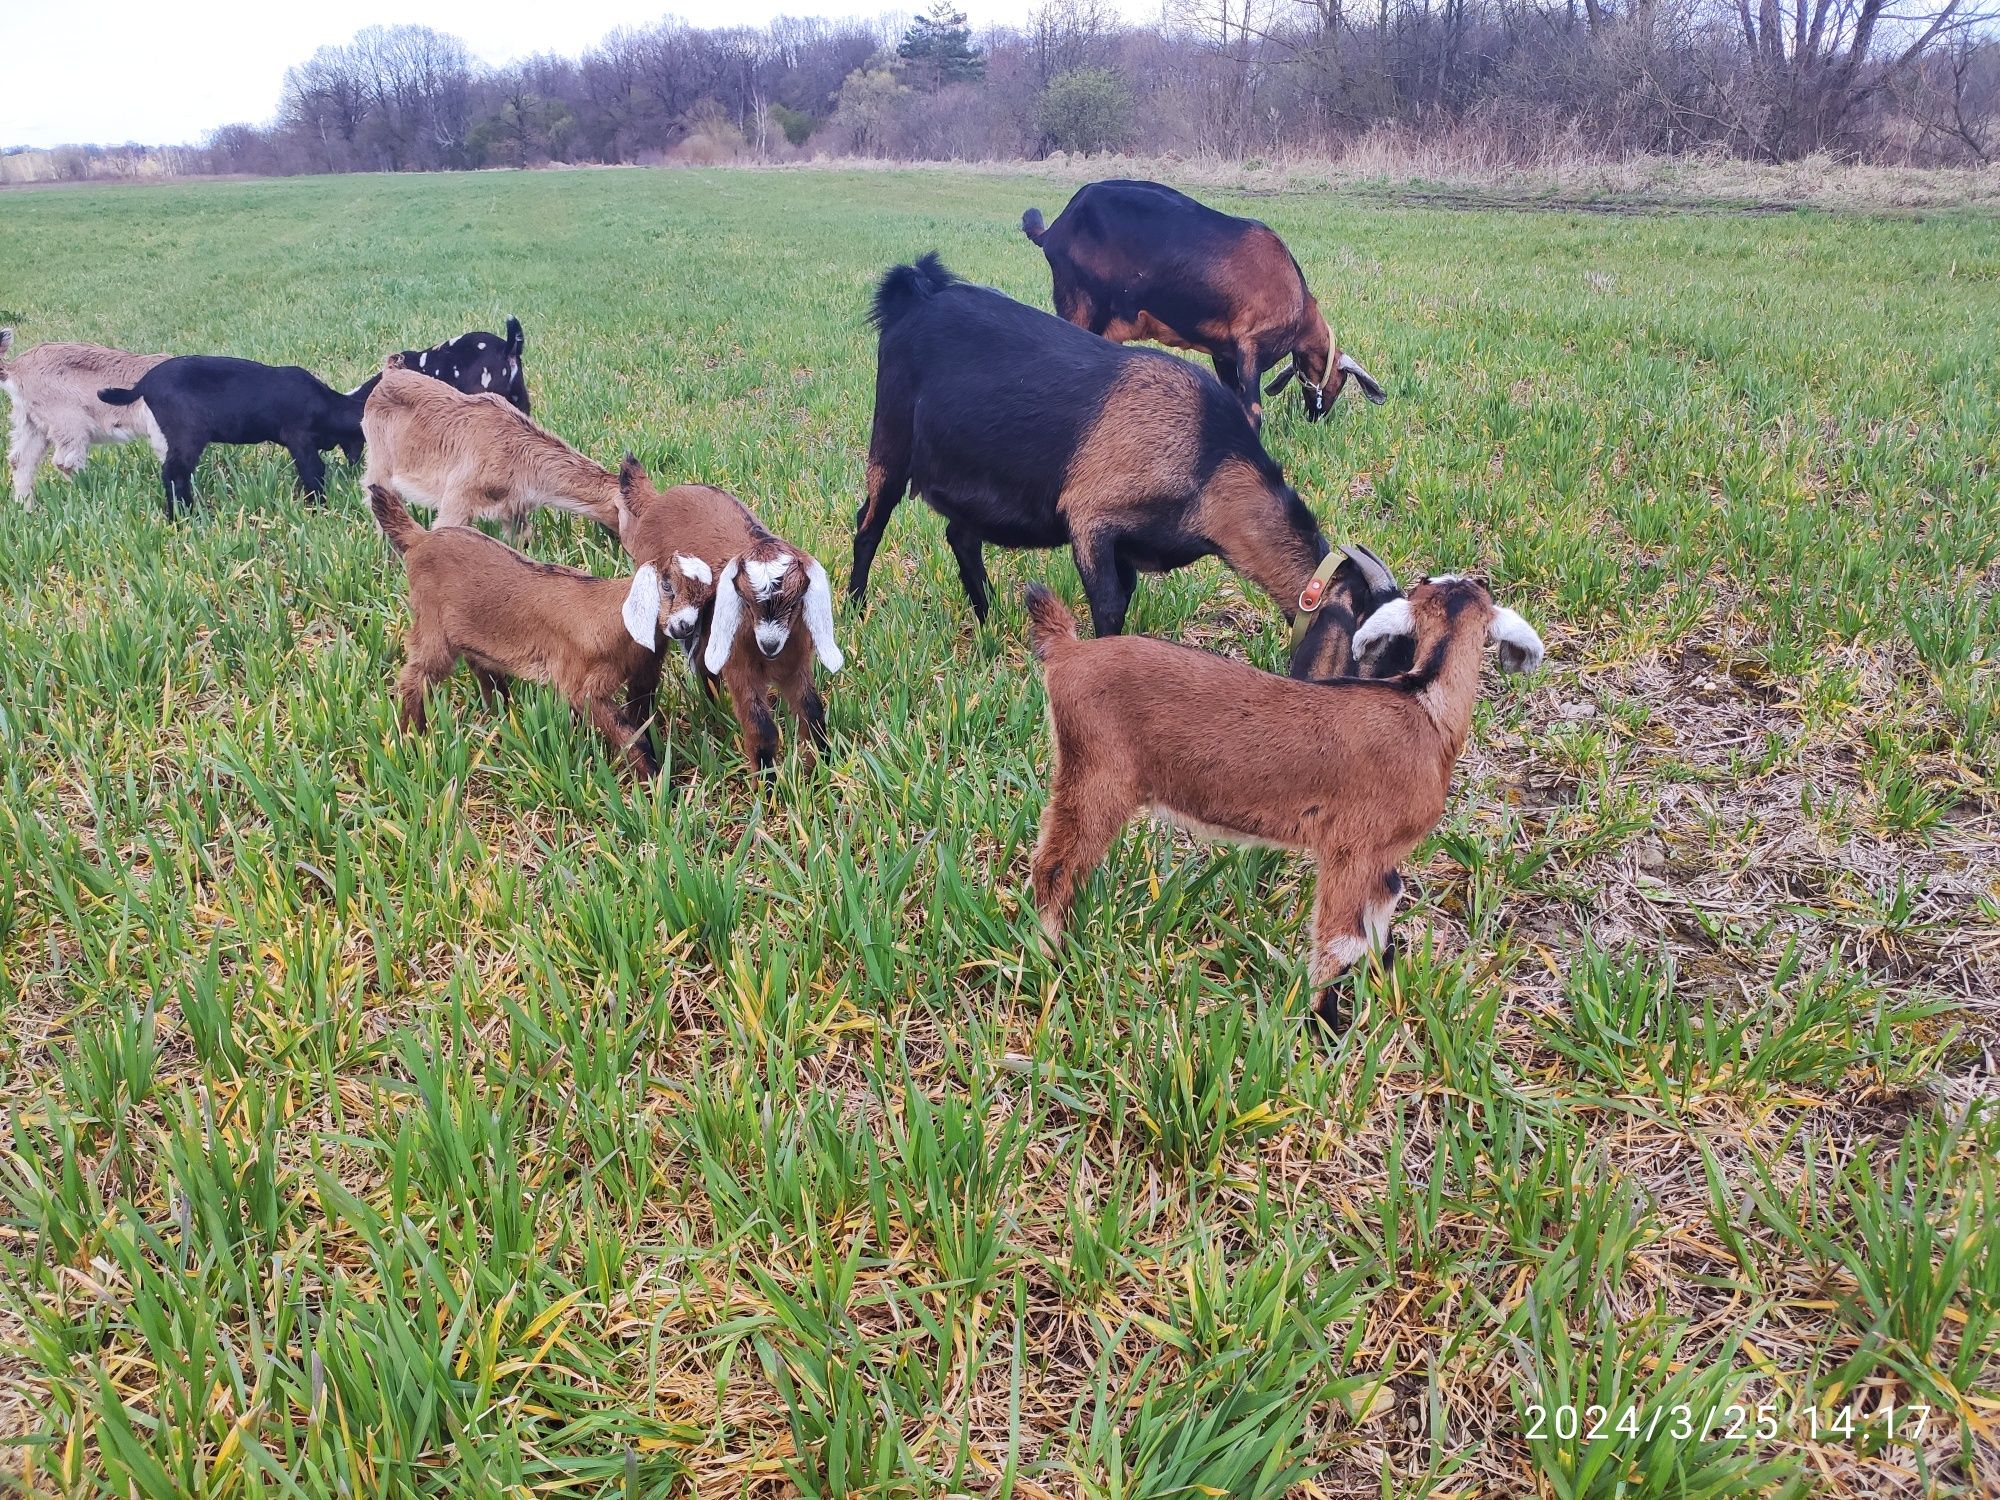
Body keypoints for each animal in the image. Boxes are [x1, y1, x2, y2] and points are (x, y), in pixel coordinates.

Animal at [852, 254, 1336, 640]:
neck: (1210, 461)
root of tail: (914, 295)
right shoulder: (1091, 517)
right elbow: (1109, 605)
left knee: (961, 536)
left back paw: (988, 617)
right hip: (891, 438)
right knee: (869, 524)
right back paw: (856, 610)